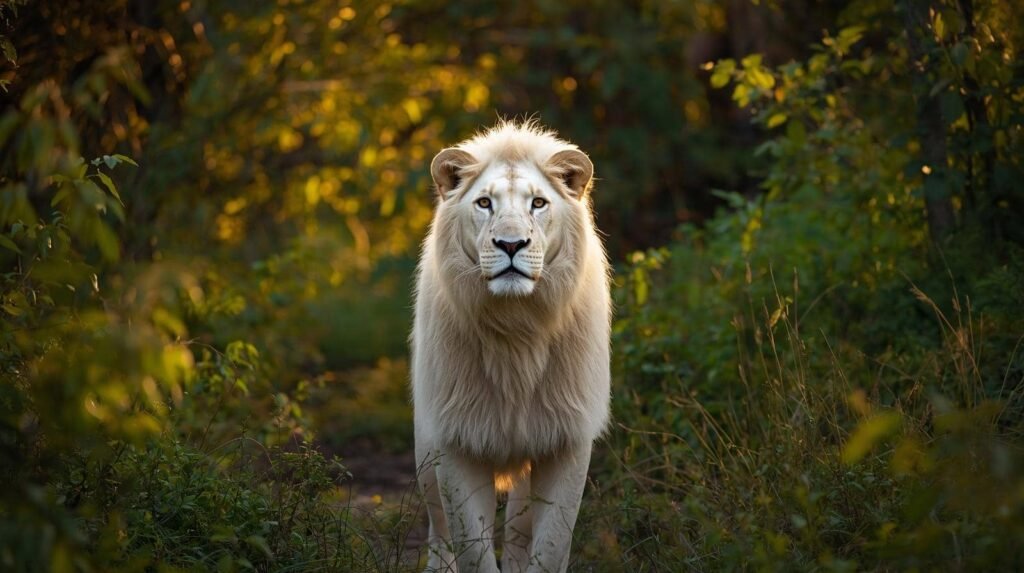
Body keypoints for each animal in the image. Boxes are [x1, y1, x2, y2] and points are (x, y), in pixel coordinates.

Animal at [411, 121, 611, 573]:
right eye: (485, 202)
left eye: (538, 203)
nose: (511, 244)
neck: (516, 328)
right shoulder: (456, 438)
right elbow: (472, 549)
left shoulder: (567, 438)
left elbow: (551, 546)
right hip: (425, 451)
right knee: (438, 531)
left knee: (519, 533)